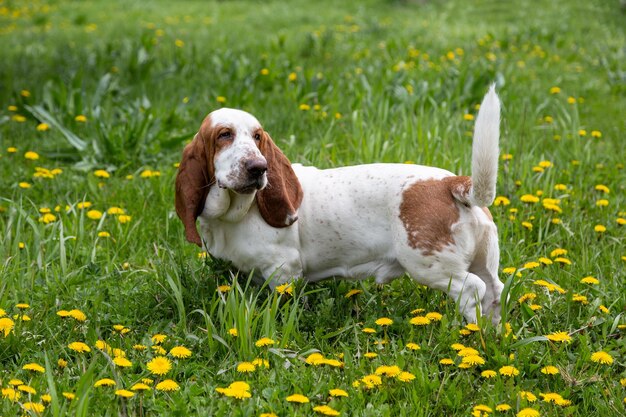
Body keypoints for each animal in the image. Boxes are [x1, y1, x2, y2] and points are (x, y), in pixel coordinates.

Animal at [174, 86, 502, 324]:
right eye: (224, 135)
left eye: (257, 137)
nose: (259, 167)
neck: (235, 213)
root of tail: (452, 183)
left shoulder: (283, 270)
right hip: (484, 262)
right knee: (494, 290)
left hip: (430, 267)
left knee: (473, 289)